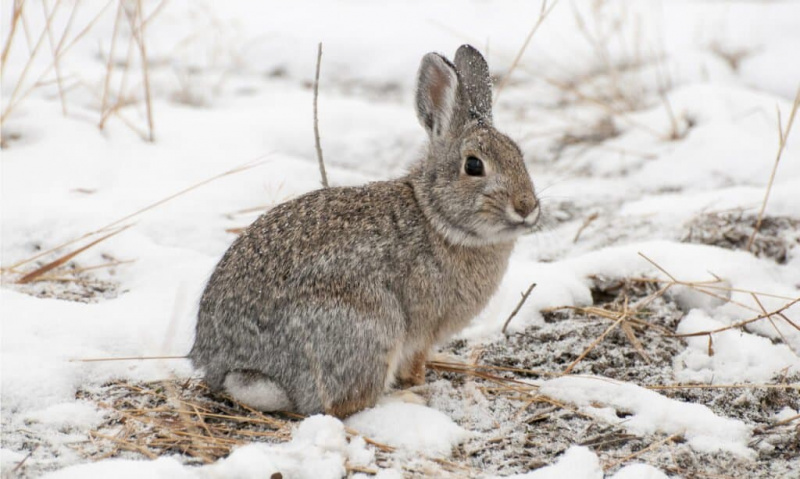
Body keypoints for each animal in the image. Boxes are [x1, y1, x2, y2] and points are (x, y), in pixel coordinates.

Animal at [191, 46, 540, 420]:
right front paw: (420, 383)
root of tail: (232, 366)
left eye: (519, 155)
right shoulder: (422, 330)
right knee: (344, 404)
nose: (527, 207)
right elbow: (414, 365)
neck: (435, 216)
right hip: (369, 329)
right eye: (474, 166)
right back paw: (407, 400)